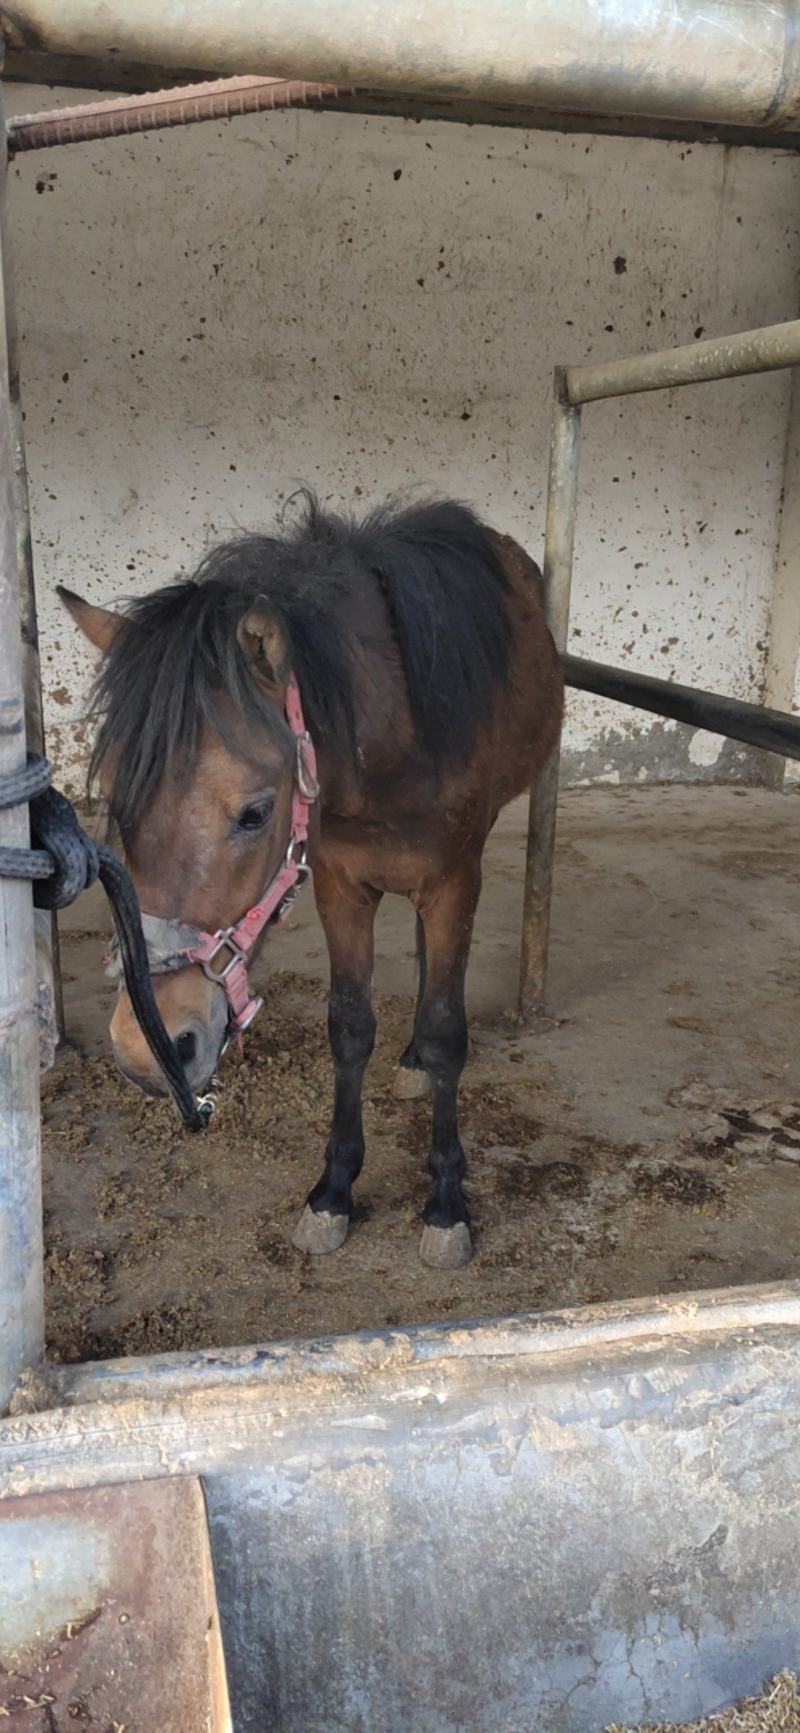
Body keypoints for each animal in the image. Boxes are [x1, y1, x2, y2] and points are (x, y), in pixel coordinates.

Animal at [59, 496, 563, 1269]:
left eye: (254, 812)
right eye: (117, 798)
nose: (148, 1048)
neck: (394, 737)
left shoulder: (454, 879)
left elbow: (448, 1030)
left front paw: (447, 1202)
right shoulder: (338, 883)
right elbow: (349, 1027)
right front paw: (333, 1190)